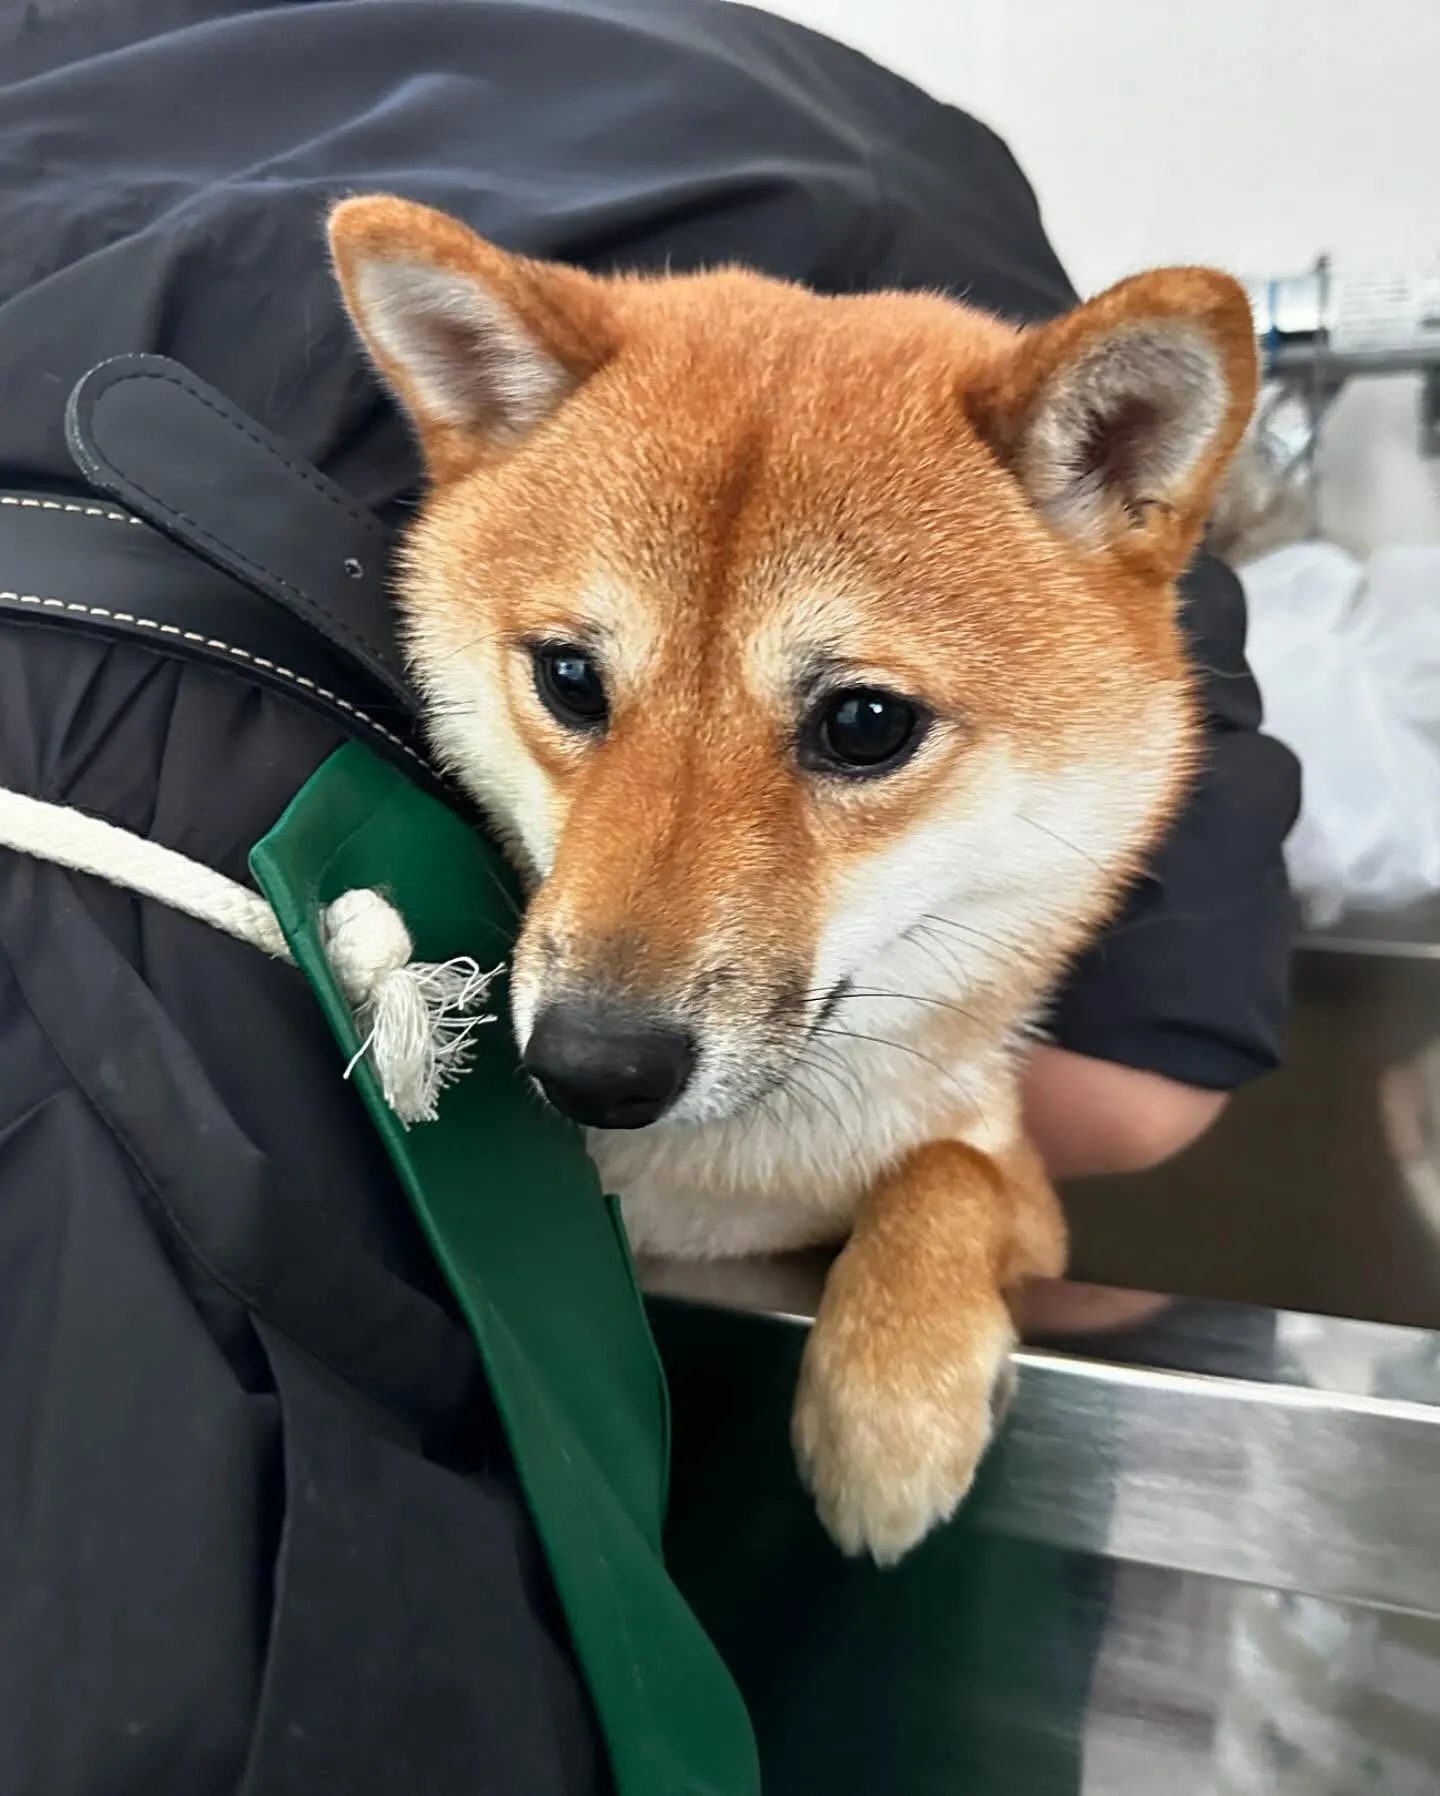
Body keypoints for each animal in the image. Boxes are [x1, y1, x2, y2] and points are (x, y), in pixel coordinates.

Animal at [330, 196, 1249, 1566]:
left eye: (865, 723)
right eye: (569, 678)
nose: (595, 1065)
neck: (710, 1184)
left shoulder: (1023, 1191)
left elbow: (950, 1173)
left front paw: (890, 1408)